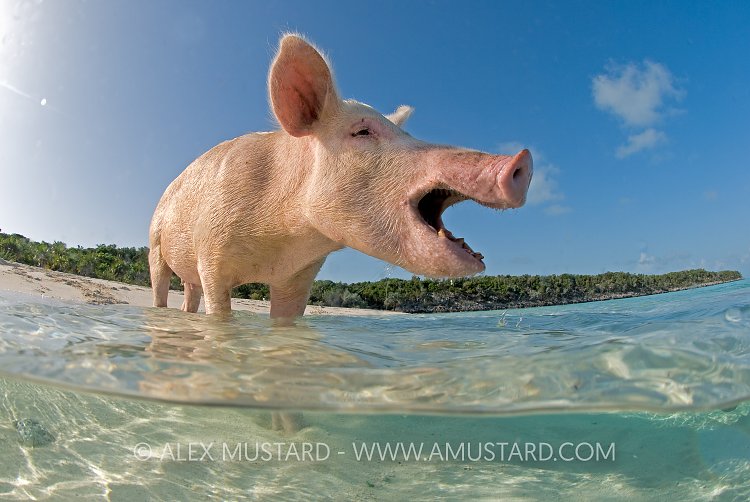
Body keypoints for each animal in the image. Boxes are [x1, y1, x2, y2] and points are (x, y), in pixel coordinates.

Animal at [149, 34, 532, 318]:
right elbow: (219, 313)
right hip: (155, 242)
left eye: (406, 133)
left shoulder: (299, 276)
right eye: (362, 131)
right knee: (162, 286)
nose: (522, 159)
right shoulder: (210, 254)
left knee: (189, 295)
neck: (283, 241)